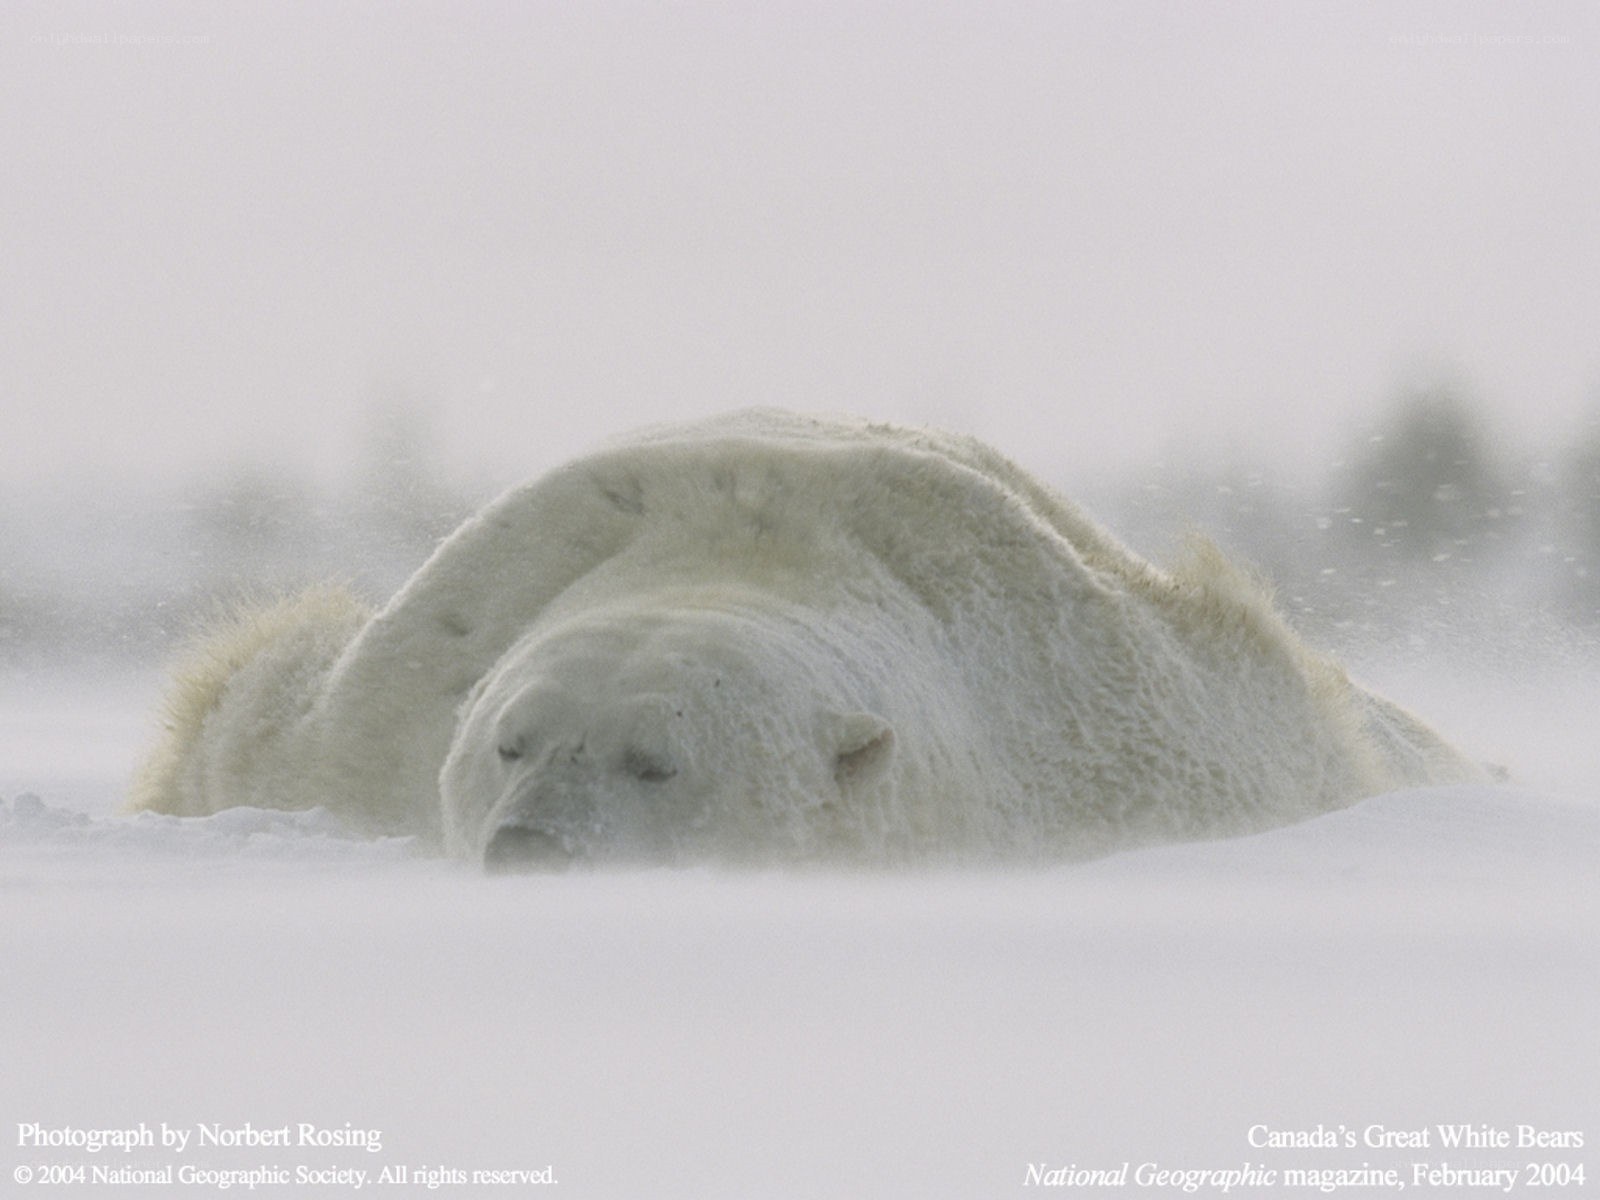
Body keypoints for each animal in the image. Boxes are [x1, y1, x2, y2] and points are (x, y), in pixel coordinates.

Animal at [132, 408, 1485, 868]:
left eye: (656, 763)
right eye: (509, 744)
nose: (533, 851)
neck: (747, 542)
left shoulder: (1136, 748)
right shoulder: (370, 712)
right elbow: (239, 713)